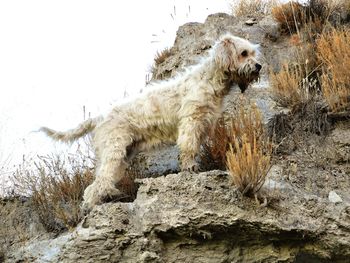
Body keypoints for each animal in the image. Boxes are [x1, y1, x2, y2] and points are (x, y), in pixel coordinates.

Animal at [40, 33, 260, 212]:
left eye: (253, 53)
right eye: (243, 53)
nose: (258, 66)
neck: (210, 80)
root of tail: (100, 117)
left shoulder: (203, 124)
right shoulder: (191, 122)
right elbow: (189, 147)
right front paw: (190, 168)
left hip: (121, 154)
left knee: (99, 181)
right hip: (114, 150)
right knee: (97, 184)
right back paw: (92, 206)